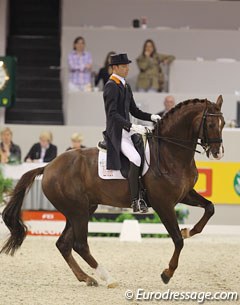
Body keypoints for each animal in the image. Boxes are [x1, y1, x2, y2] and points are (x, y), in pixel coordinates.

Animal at [0, 94, 225, 284]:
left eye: (223, 124)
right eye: (211, 124)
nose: (218, 153)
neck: (171, 153)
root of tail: (48, 167)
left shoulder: (184, 194)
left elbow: (210, 208)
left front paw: (190, 231)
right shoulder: (164, 204)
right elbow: (177, 240)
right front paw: (167, 273)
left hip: (82, 209)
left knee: (64, 244)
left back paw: (86, 278)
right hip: (78, 211)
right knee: (80, 245)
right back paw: (107, 278)